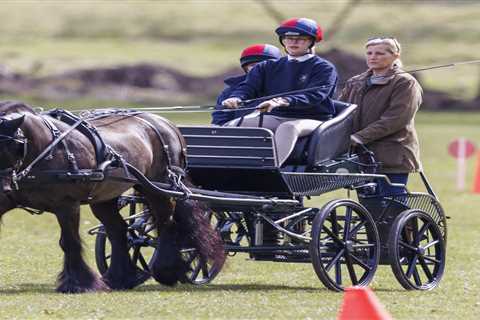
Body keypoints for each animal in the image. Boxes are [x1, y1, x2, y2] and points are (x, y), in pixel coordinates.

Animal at [0, 101, 224, 294]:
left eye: (15, 147)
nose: (4, 187)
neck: (45, 148)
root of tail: (167, 124)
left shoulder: (67, 205)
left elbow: (69, 242)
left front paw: (79, 284)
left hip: (158, 187)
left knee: (166, 224)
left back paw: (167, 270)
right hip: (105, 197)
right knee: (118, 230)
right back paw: (119, 277)